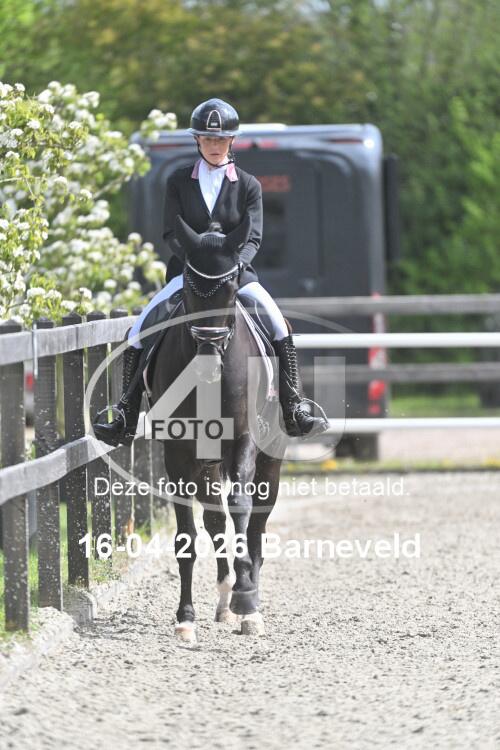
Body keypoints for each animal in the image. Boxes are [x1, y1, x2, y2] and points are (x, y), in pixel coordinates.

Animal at [147, 214, 288, 642]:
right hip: (206, 465)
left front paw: (248, 604)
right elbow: (187, 536)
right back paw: (226, 599)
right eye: (190, 291)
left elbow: (241, 509)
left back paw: (248, 597)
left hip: (270, 461)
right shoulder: (177, 455)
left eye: (229, 288)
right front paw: (185, 618)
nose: (208, 362)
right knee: (215, 521)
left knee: (256, 523)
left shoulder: (243, 442)